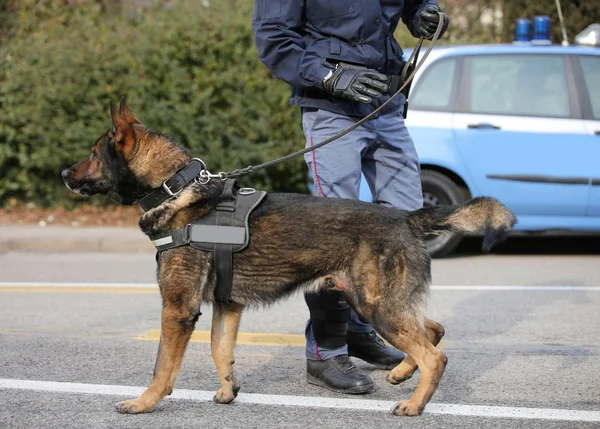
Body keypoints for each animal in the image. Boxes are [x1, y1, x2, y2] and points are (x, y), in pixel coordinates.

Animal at [63, 98, 516, 416]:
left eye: (93, 154)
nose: (64, 174)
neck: (175, 188)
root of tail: (407, 216)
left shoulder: (178, 310)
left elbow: (162, 367)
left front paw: (144, 402)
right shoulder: (227, 306)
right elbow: (220, 350)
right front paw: (228, 391)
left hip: (377, 307)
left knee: (435, 355)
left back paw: (414, 404)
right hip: (376, 303)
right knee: (433, 329)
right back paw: (403, 372)